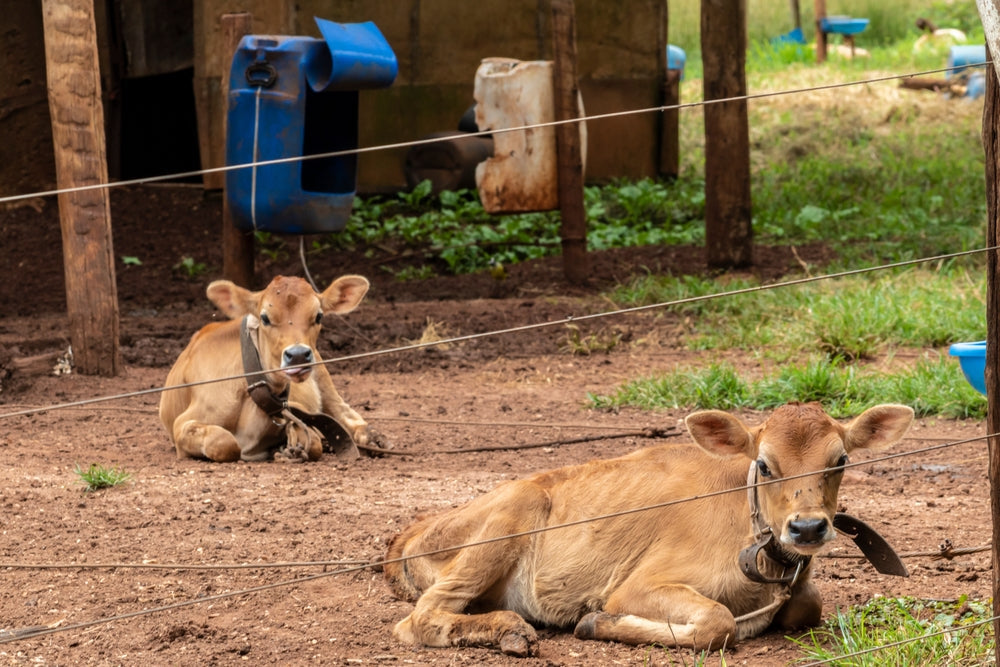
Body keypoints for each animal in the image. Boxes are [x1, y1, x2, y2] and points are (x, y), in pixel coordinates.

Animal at [159, 274, 372, 463]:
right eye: (265, 318)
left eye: (318, 316)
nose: (298, 355)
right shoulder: (181, 424)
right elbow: (224, 442)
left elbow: (314, 442)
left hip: (323, 377)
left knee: (344, 412)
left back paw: (371, 437)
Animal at [383, 402, 914, 656]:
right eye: (764, 465)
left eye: (840, 461)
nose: (806, 528)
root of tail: (409, 533)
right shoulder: (637, 586)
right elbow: (719, 622)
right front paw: (595, 622)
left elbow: (808, 605)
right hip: (512, 513)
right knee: (419, 619)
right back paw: (509, 630)